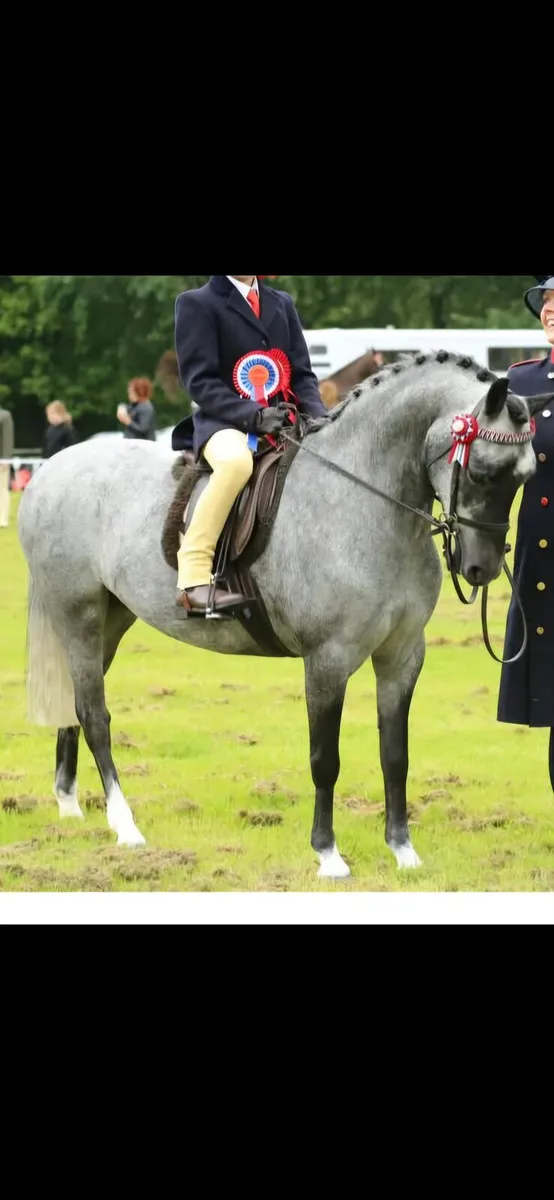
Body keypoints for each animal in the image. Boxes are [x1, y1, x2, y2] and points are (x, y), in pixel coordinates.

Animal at [17, 352, 550, 880]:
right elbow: (325, 759)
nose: (480, 568)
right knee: (95, 715)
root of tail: (48, 472)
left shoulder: (402, 656)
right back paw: (125, 827)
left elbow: (395, 755)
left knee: (75, 704)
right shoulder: (328, 660)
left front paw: (403, 851)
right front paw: (329, 854)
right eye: (481, 471)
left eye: (524, 478)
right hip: (79, 616)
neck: (364, 502)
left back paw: (68, 803)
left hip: (109, 622)